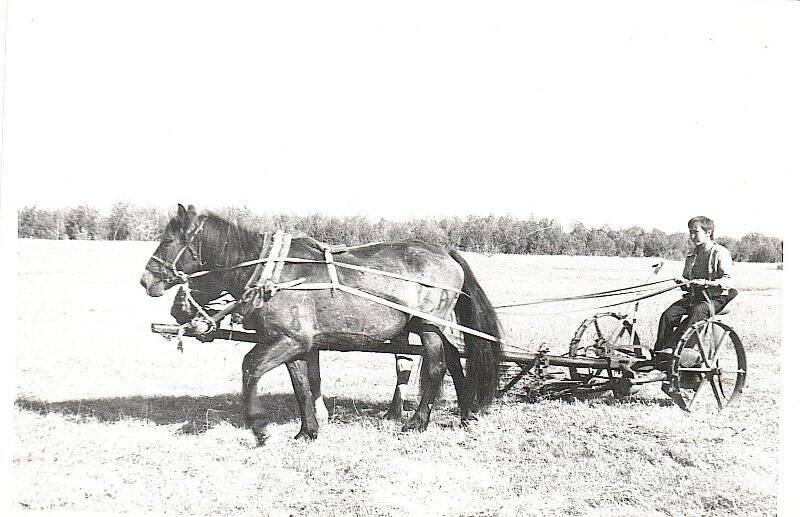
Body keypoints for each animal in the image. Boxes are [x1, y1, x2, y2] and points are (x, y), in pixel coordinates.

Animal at [138, 206, 500, 444]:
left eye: (168, 241)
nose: (146, 280)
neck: (274, 273)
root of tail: (446, 253)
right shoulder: (296, 344)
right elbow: (302, 383)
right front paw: (308, 430)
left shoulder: (289, 340)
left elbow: (250, 367)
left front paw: (258, 427)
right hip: (432, 326)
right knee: (453, 360)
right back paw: (465, 413)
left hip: (427, 325)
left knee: (437, 366)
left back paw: (417, 423)